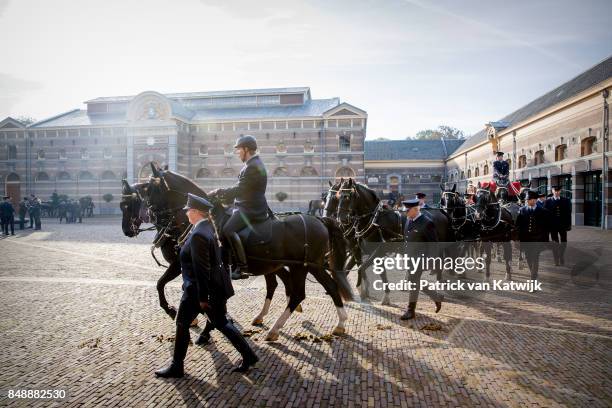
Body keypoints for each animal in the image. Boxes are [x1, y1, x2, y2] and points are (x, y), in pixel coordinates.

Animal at [120, 163, 352, 342]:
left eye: (152, 191)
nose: (128, 229)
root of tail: (318, 219)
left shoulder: (184, 266)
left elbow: (164, 285)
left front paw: (178, 313)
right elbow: (175, 287)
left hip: (303, 267)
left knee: (302, 292)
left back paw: (277, 328)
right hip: (295, 266)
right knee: (313, 287)